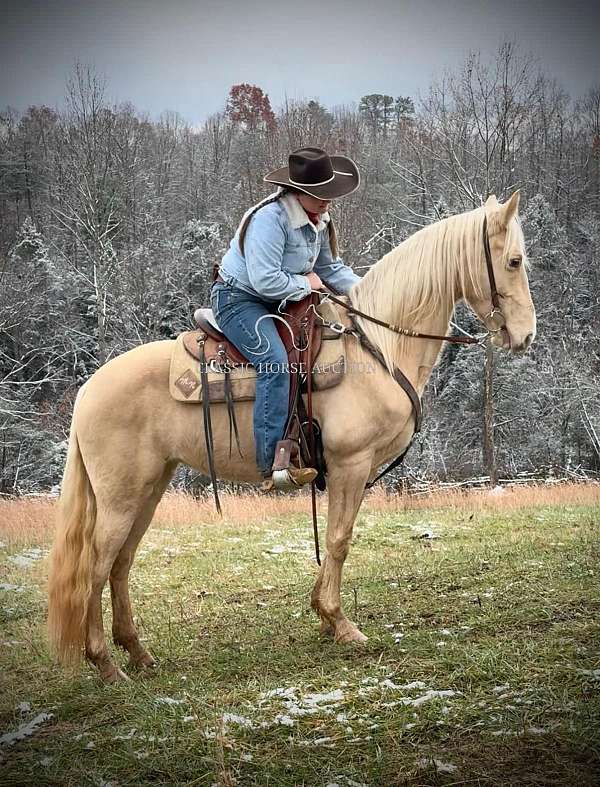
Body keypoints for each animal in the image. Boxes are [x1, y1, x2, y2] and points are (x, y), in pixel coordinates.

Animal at [47, 192, 536, 684]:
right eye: (513, 261)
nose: (525, 335)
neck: (378, 345)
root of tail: (90, 387)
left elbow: (339, 536)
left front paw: (324, 616)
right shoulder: (350, 464)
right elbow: (338, 539)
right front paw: (341, 623)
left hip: (148, 489)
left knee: (121, 563)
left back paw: (137, 652)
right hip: (120, 496)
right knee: (96, 566)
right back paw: (106, 664)